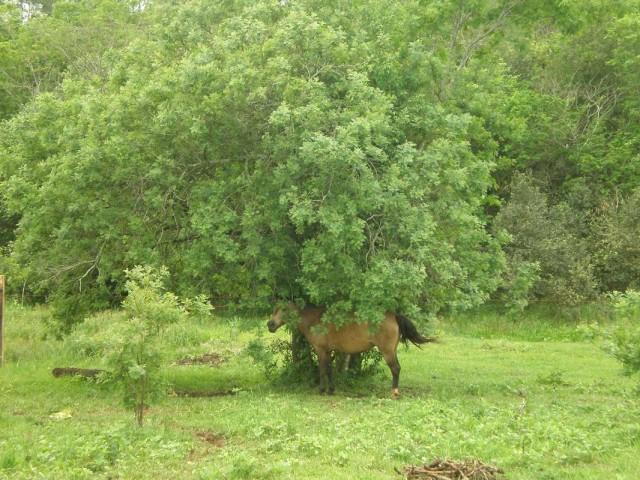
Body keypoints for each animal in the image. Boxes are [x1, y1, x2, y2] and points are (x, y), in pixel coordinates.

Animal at [264, 304, 430, 398]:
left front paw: (321, 390)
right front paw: (331, 390)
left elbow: (322, 370)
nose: (270, 324)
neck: (314, 321)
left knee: (395, 369)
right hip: (392, 350)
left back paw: (394, 392)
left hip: (387, 351)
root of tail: (394, 315)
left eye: (283, 309)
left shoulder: (320, 350)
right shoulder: (328, 351)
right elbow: (329, 370)